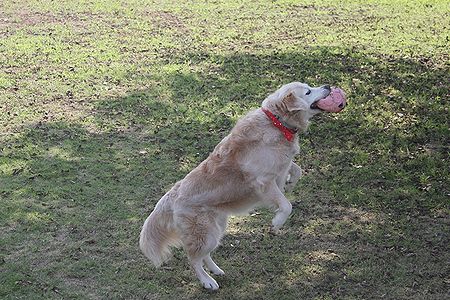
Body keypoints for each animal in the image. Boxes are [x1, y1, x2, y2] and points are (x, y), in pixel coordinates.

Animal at [139, 81, 346, 288]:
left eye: (309, 86)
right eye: (308, 91)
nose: (328, 86)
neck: (277, 122)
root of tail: (171, 196)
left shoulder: (281, 168)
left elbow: (297, 169)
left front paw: (290, 184)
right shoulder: (264, 181)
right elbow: (286, 205)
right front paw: (277, 222)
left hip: (216, 229)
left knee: (204, 255)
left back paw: (216, 270)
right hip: (203, 234)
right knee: (194, 258)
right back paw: (207, 281)